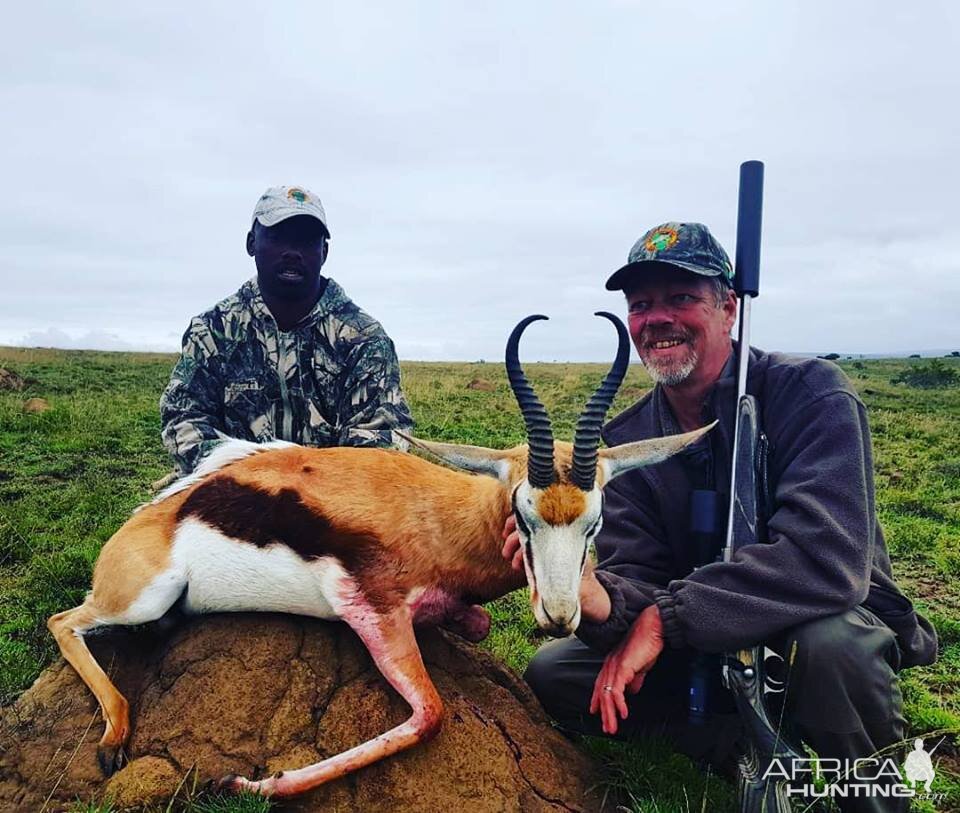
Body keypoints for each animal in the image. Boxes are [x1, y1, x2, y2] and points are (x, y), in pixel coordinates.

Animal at [52, 314, 712, 796]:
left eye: (595, 521)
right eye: (523, 515)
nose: (557, 616)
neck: (438, 518)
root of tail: (150, 519)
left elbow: (474, 626)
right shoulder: (375, 611)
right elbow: (431, 715)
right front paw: (247, 782)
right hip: (141, 597)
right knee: (62, 620)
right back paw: (113, 740)